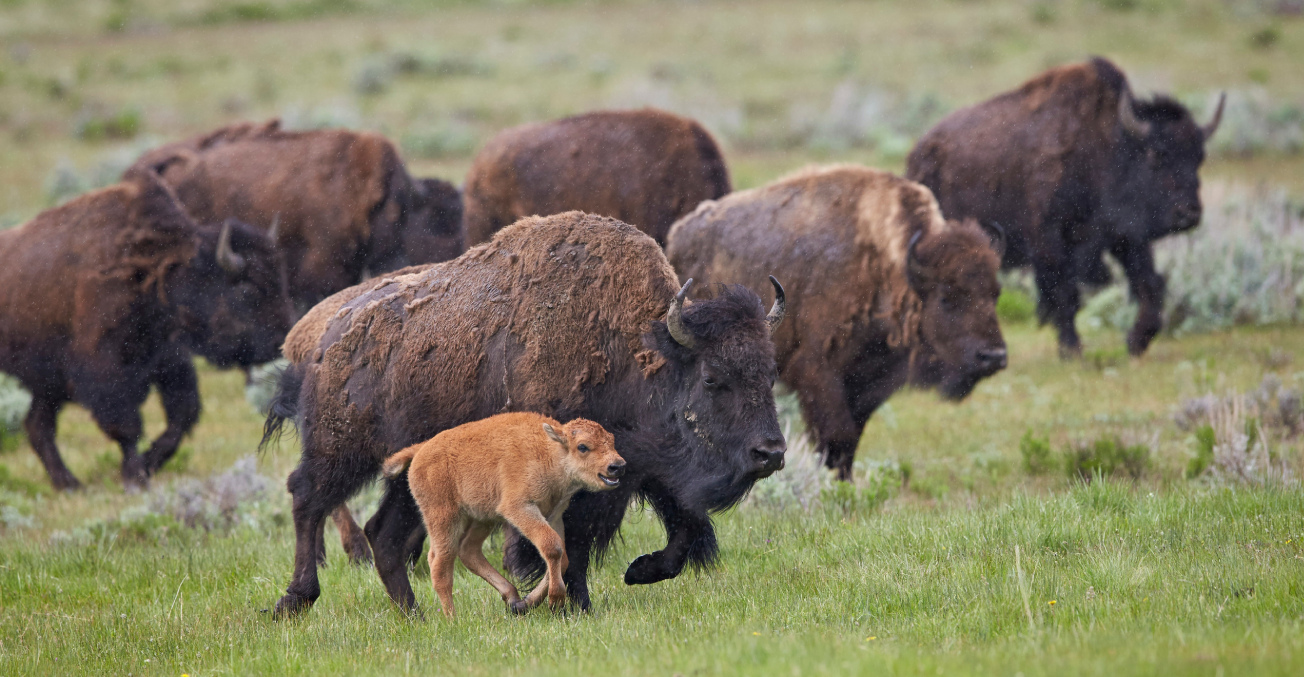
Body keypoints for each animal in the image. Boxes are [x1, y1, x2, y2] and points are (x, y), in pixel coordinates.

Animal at [0, 171, 293, 490]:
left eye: (281, 280)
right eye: (247, 289)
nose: (282, 340)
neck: (156, 268)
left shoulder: (170, 361)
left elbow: (181, 418)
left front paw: (150, 462)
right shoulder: (107, 374)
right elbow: (126, 427)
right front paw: (135, 477)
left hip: (44, 386)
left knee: (37, 426)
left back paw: (69, 483)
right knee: (40, 426)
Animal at [381, 413, 624, 617]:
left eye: (611, 440)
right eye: (583, 446)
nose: (617, 465)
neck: (549, 450)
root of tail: (421, 450)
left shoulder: (553, 515)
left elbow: (561, 557)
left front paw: (527, 602)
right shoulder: (519, 508)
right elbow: (552, 547)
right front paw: (555, 600)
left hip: (481, 518)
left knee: (468, 551)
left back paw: (512, 597)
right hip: (444, 517)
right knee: (440, 562)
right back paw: (452, 618)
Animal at [667, 165, 1007, 480]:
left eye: (995, 293)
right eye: (948, 297)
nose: (994, 357)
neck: (881, 265)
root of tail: (678, 235)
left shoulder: (867, 383)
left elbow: (851, 439)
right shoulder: (819, 372)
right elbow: (836, 436)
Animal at [906, 57, 1225, 357]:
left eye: (1199, 156)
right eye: (1157, 154)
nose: (1189, 213)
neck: (1107, 146)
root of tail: (918, 154)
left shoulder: (1125, 238)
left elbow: (1149, 283)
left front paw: (1137, 341)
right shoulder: (1051, 242)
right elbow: (1065, 294)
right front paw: (1072, 351)